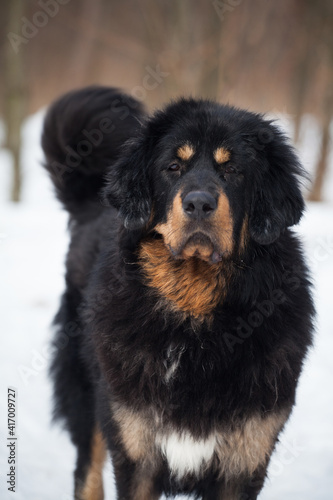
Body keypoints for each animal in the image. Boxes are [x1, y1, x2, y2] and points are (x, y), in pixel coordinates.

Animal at [42, 87, 314, 500]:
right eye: (173, 167)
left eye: (232, 170)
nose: (199, 203)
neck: (194, 319)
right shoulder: (136, 451)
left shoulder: (244, 460)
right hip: (88, 398)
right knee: (86, 475)